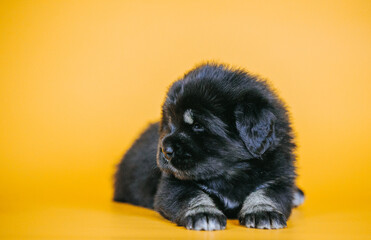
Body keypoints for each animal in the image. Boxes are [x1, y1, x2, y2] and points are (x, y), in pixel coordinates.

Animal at [114, 63, 306, 231]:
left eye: (198, 126)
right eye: (169, 123)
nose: (165, 151)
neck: (232, 171)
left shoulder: (278, 178)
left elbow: (267, 193)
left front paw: (263, 211)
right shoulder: (172, 184)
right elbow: (190, 196)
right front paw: (203, 213)